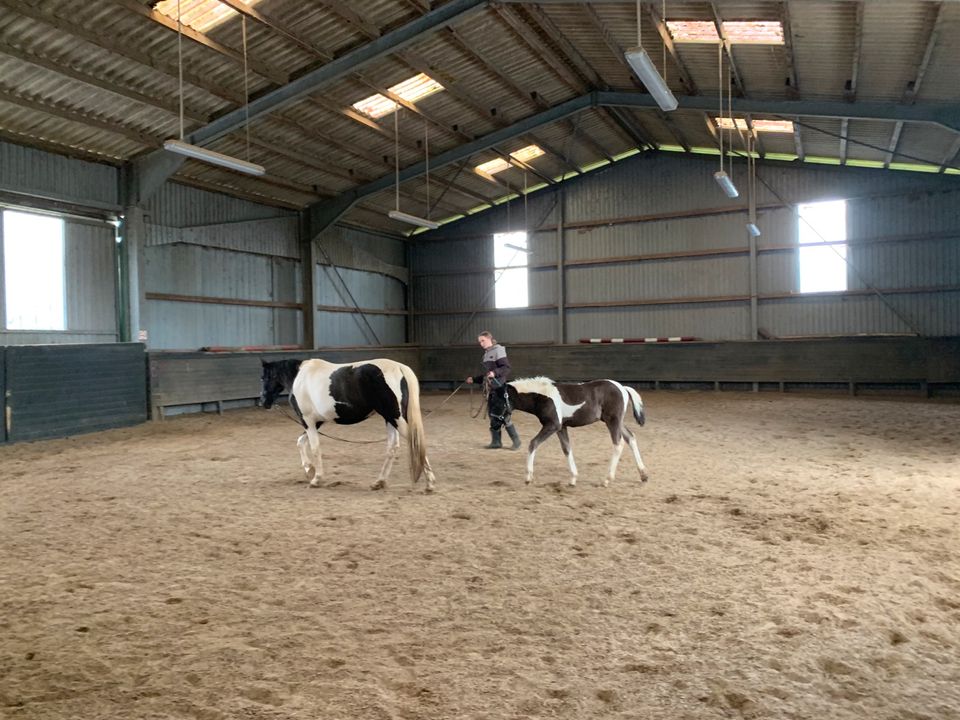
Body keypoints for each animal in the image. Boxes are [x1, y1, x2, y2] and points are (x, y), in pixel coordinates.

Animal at [256, 358, 434, 492]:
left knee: (415, 442)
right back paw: (379, 482)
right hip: (390, 418)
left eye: (264, 378)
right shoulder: (316, 422)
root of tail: (400, 368)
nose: (263, 402)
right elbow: (301, 442)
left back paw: (430, 483)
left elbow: (314, 448)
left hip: (394, 416)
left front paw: (316, 478)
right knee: (393, 447)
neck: (299, 377)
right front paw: (309, 469)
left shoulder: (308, 421)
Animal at [506, 376, 648, 490]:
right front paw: (573, 479)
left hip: (613, 421)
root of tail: (622, 388)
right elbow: (566, 448)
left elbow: (533, 443)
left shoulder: (552, 425)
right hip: (617, 422)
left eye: (500, 399)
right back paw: (643, 475)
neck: (543, 395)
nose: (501, 421)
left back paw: (606, 480)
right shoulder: (561, 427)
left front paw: (528, 478)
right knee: (631, 438)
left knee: (618, 444)